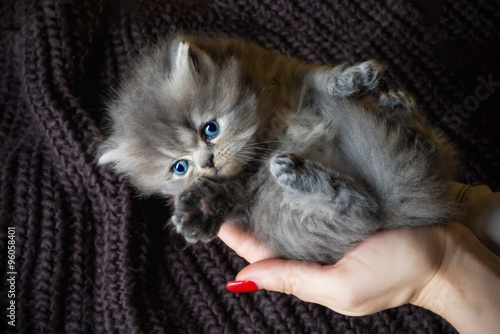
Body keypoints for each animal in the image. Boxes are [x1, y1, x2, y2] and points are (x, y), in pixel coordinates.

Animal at [98, 34, 458, 264]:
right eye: (180, 167)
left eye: (210, 129)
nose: (208, 162)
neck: (264, 132)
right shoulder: (244, 192)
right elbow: (224, 193)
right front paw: (201, 210)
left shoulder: (293, 75)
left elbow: (322, 79)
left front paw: (355, 78)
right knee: (368, 206)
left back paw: (397, 110)